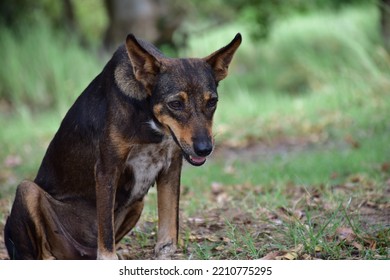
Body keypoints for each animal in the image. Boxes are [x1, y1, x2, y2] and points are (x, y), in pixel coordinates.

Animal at [3, 33, 241, 260]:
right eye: (175, 104)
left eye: (212, 102)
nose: (204, 149)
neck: (147, 115)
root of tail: (79, 253)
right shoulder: (108, 169)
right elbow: (106, 233)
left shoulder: (171, 168)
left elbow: (168, 229)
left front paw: (167, 255)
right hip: (27, 191)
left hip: (137, 203)